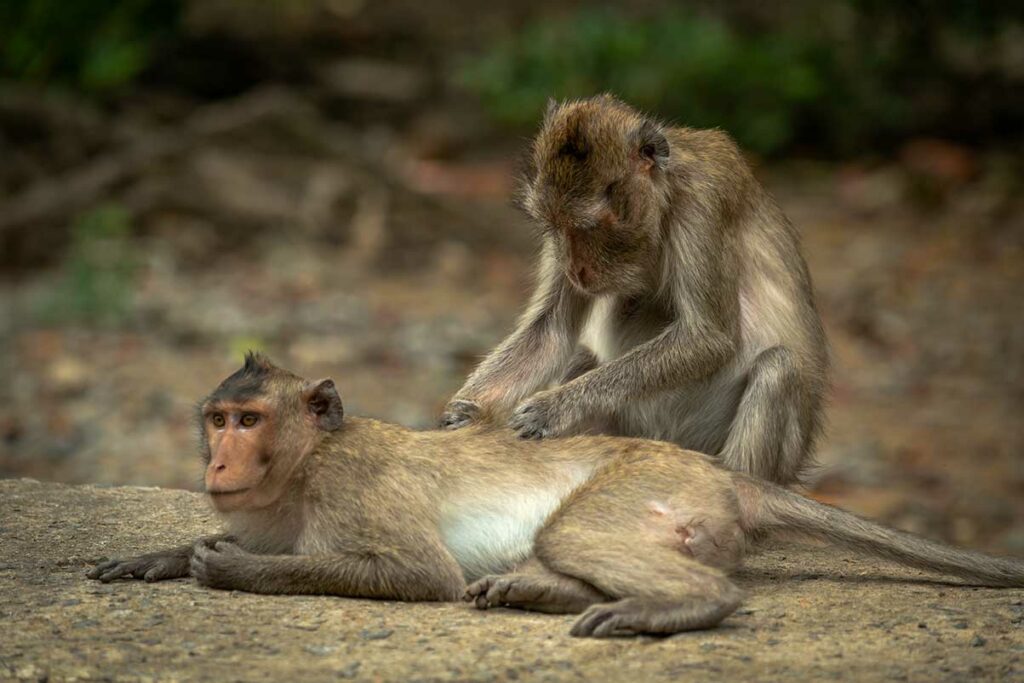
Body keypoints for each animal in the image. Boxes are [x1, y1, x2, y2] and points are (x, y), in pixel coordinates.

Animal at [88, 354, 1024, 638]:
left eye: (248, 419)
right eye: (217, 418)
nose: (218, 461)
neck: (307, 461)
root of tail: (727, 473)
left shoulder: (354, 485)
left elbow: (420, 572)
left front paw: (227, 567)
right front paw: (159, 554)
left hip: (645, 485)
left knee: (583, 536)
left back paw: (672, 605)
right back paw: (536, 588)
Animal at [440, 95, 829, 485]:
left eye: (589, 228)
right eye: (557, 227)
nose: (574, 270)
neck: (665, 198)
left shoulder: (704, 204)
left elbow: (708, 337)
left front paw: (553, 407)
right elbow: (550, 331)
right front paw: (466, 411)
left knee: (778, 366)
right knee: (584, 355)